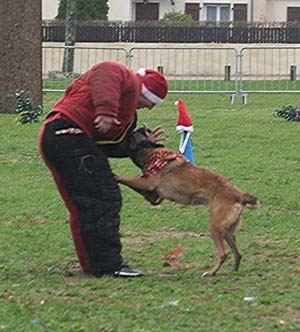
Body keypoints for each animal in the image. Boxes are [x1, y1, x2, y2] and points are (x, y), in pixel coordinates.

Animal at [116, 128, 258, 276]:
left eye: (132, 136)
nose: (123, 136)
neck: (153, 155)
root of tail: (239, 195)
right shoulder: (152, 196)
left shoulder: (147, 183)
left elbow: (127, 179)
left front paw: (115, 176)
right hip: (227, 231)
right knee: (238, 253)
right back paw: (233, 271)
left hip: (215, 227)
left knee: (223, 254)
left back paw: (211, 272)